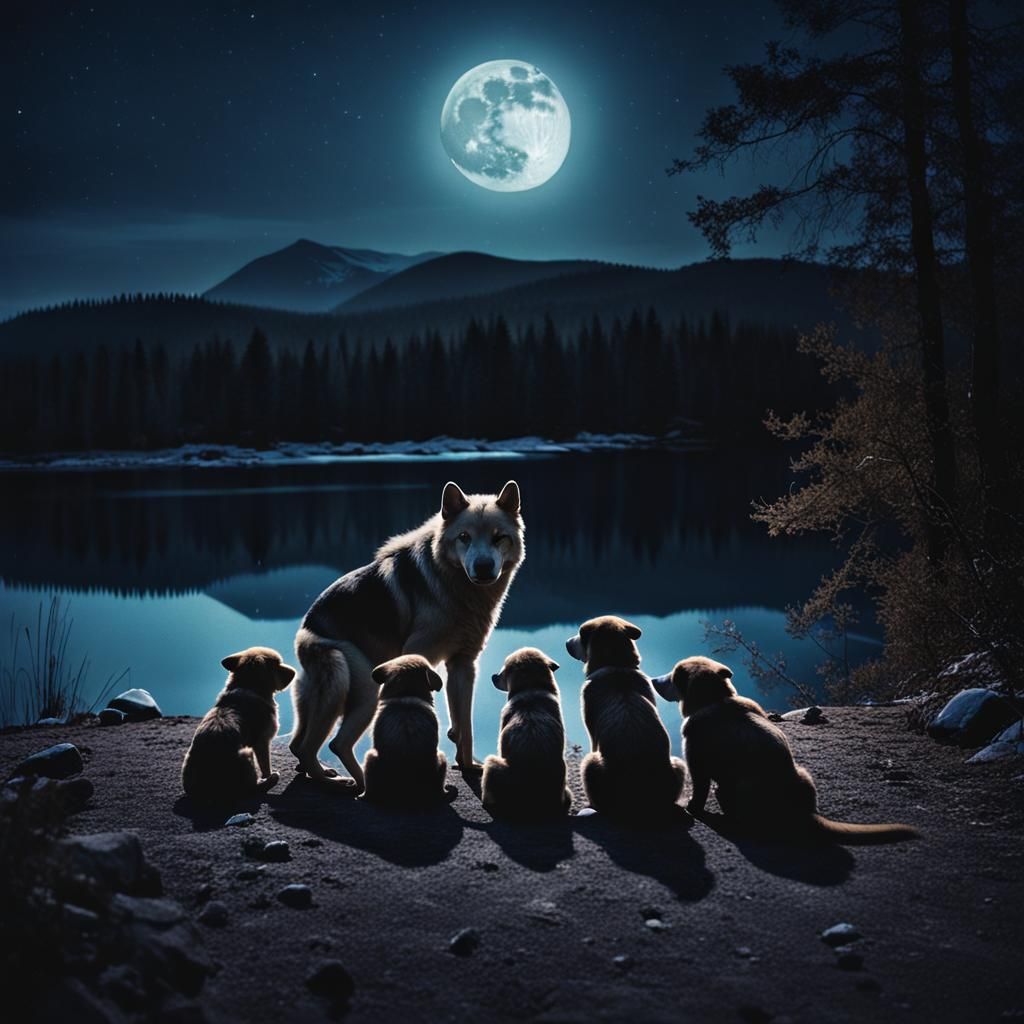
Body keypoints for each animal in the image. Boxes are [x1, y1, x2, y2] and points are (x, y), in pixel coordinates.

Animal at [290, 480, 524, 790]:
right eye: (464, 537)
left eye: (499, 538)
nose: (484, 567)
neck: (453, 586)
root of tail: (305, 631)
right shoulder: (417, 658)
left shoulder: (463, 665)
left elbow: (464, 724)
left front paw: (467, 765)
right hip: (360, 687)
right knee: (327, 745)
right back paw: (348, 783)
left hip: (318, 696)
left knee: (298, 744)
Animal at [651, 656, 919, 843]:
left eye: (672, 676)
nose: (653, 680)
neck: (714, 700)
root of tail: (805, 813)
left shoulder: (697, 764)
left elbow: (699, 793)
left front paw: (692, 809)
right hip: (802, 770)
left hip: (746, 784)